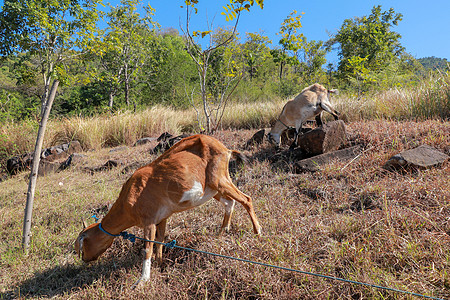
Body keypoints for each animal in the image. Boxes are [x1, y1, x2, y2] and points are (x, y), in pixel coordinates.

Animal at [74, 135, 260, 284]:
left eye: (82, 246)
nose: (84, 259)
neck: (128, 200)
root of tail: (225, 149)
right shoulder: (162, 218)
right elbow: (160, 241)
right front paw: (160, 264)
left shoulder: (148, 221)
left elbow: (147, 249)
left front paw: (142, 281)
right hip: (213, 188)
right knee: (230, 203)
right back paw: (222, 232)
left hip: (219, 180)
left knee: (246, 199)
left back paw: (257, 231)